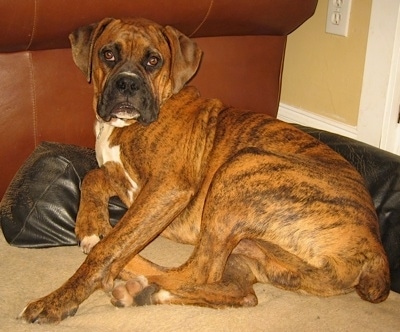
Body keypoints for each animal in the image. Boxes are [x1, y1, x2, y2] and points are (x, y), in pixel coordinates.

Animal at [19, 16, 390, 322]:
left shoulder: (167, 188)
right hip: (250, 253)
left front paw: (59, 299)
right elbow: (92, 177)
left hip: (242, 168)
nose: (127, 84)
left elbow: (108, 248)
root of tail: (374, 249)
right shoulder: (126, 180)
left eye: (153, 60)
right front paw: (90, 224)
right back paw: (142, 288)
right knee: (239, 293)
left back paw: (130, 276)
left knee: (197, 271)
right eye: (108, 54)